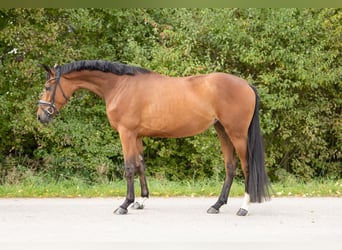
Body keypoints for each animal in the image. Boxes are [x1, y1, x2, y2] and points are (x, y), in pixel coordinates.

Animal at [36, 60, 270, 215]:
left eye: (47, 87)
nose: (41, 116)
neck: (120, 86)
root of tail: (247, 85)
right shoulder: (137, 135)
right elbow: (140, 165)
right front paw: (140, 200)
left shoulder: (126, 133)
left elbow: (129, 167)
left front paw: (124, 204)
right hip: (222, 131)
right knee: (230, 166)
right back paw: (216, 205)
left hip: (237, 134)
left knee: (246, 166)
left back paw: (244, 207)